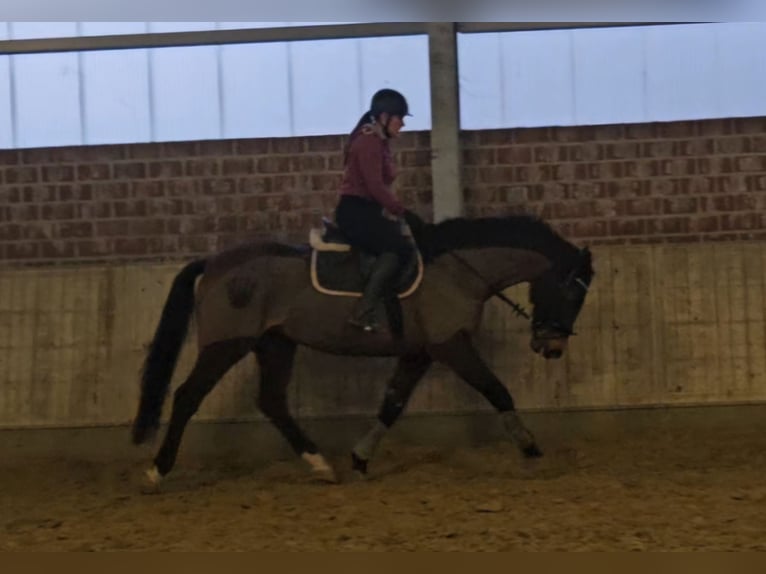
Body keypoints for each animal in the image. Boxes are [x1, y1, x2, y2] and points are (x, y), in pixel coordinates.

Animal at [131, 210, 594, 490]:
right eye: (573, 291)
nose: (551, 347)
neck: (458, 270)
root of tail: (213, 263)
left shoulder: (420, 352)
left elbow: (392, 403)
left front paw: (359, 459)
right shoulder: (451, 346)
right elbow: (497, 391)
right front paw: (531, 449)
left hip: (275, 343)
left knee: (272, 401)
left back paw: (321, 464)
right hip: (226, 345)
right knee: (187, 396)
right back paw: (157, 470)